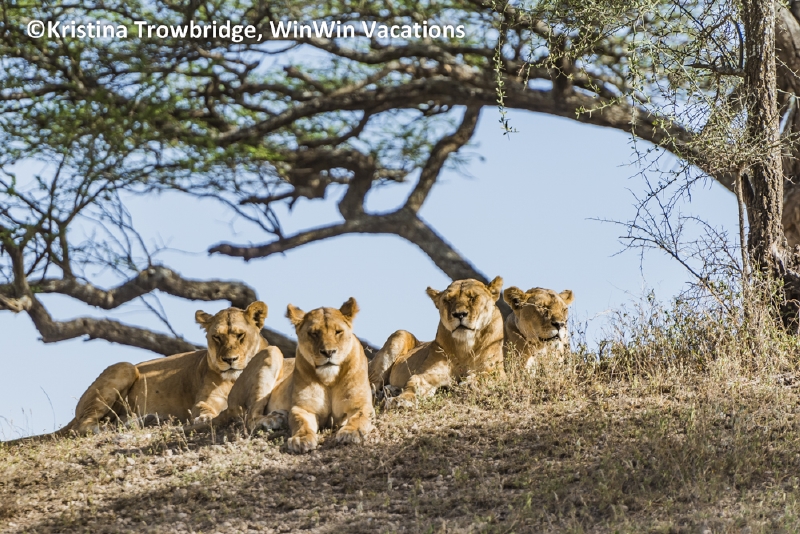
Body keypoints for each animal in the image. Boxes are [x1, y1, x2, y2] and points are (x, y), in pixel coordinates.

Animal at [8, 302, 270, 443]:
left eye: (240, 335)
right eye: (216, 337)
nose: (229, 360)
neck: (234, 377)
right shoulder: (203, 401)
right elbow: (205, 411)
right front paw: (205, 419)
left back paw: (146, 420)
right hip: (125, 367)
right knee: (82, 425)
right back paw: (112, 428)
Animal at [260, 298, 374, 453]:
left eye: (338, 332)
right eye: (313, 333)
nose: (328, 352)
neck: (329, 379)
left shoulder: (361, 404)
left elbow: (359, 417)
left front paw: (351, 432)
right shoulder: (304, 408)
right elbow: (301, 422)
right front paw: (301, 439)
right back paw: (271, 419)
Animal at [368, 277, 505, 409]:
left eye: (473, 297)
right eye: (448, 300)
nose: (459, 314)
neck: (464, 347)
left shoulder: (498, 372)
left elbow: (485, 376)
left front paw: (469, 383)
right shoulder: (429, 375)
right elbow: (414, 385)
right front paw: (402, 400)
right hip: (400, 334)